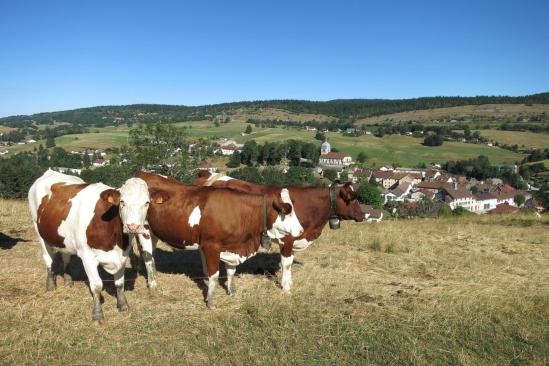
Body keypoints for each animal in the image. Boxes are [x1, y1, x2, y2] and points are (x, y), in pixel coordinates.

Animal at [28, 169, 150, 320]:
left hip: (64, 239)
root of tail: (50, 171)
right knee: (48, 259)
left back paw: (68, 280)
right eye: (122, 202)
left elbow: (120, 283)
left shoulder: (122, 255)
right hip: (38, 230)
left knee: (65, 257)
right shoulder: (88, 257)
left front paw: (123, 305)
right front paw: (97, 314)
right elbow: (96, 285)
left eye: (147, 203)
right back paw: (51, 285)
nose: (133, 227)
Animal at [134, 171, 304, 306]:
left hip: (154, 232)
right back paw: (153, 284)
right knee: (147, 257)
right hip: (144, 230)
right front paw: (210, 301)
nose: (301, 230)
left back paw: (154, 277)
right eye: (287, 211)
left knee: (151, 256)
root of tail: (143, 173)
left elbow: (231, 271)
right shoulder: (211, 246)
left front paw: (232, 291)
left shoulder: (233, 246)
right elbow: (214, 275)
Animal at [193, 171, 364, 292]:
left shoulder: (294, 238)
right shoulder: (288, 239)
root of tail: (208, 175)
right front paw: (286, 287)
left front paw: (289, 282)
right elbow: (286, 263)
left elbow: (289, 262)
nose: (363, 215)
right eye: (352, 199)